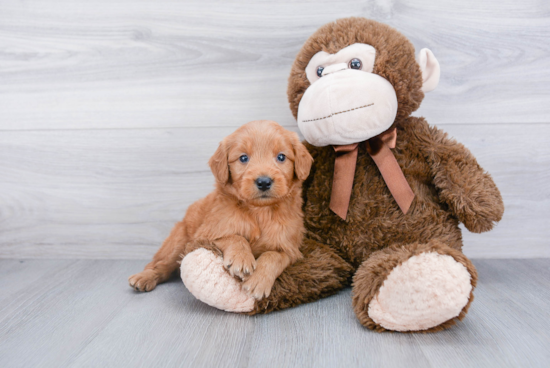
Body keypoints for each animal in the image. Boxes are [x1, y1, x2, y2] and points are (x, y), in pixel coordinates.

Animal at [127, 121, 312, 300]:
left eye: (281, 157)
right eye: (243, 158)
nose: (264, 182)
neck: (259, 212)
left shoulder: (290, 249)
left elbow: (273, 256)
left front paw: (258, 280)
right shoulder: (204, 235)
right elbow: (234, 237)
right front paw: (241, 258)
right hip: (177, 241)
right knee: (160, 265)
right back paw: (144, 277)